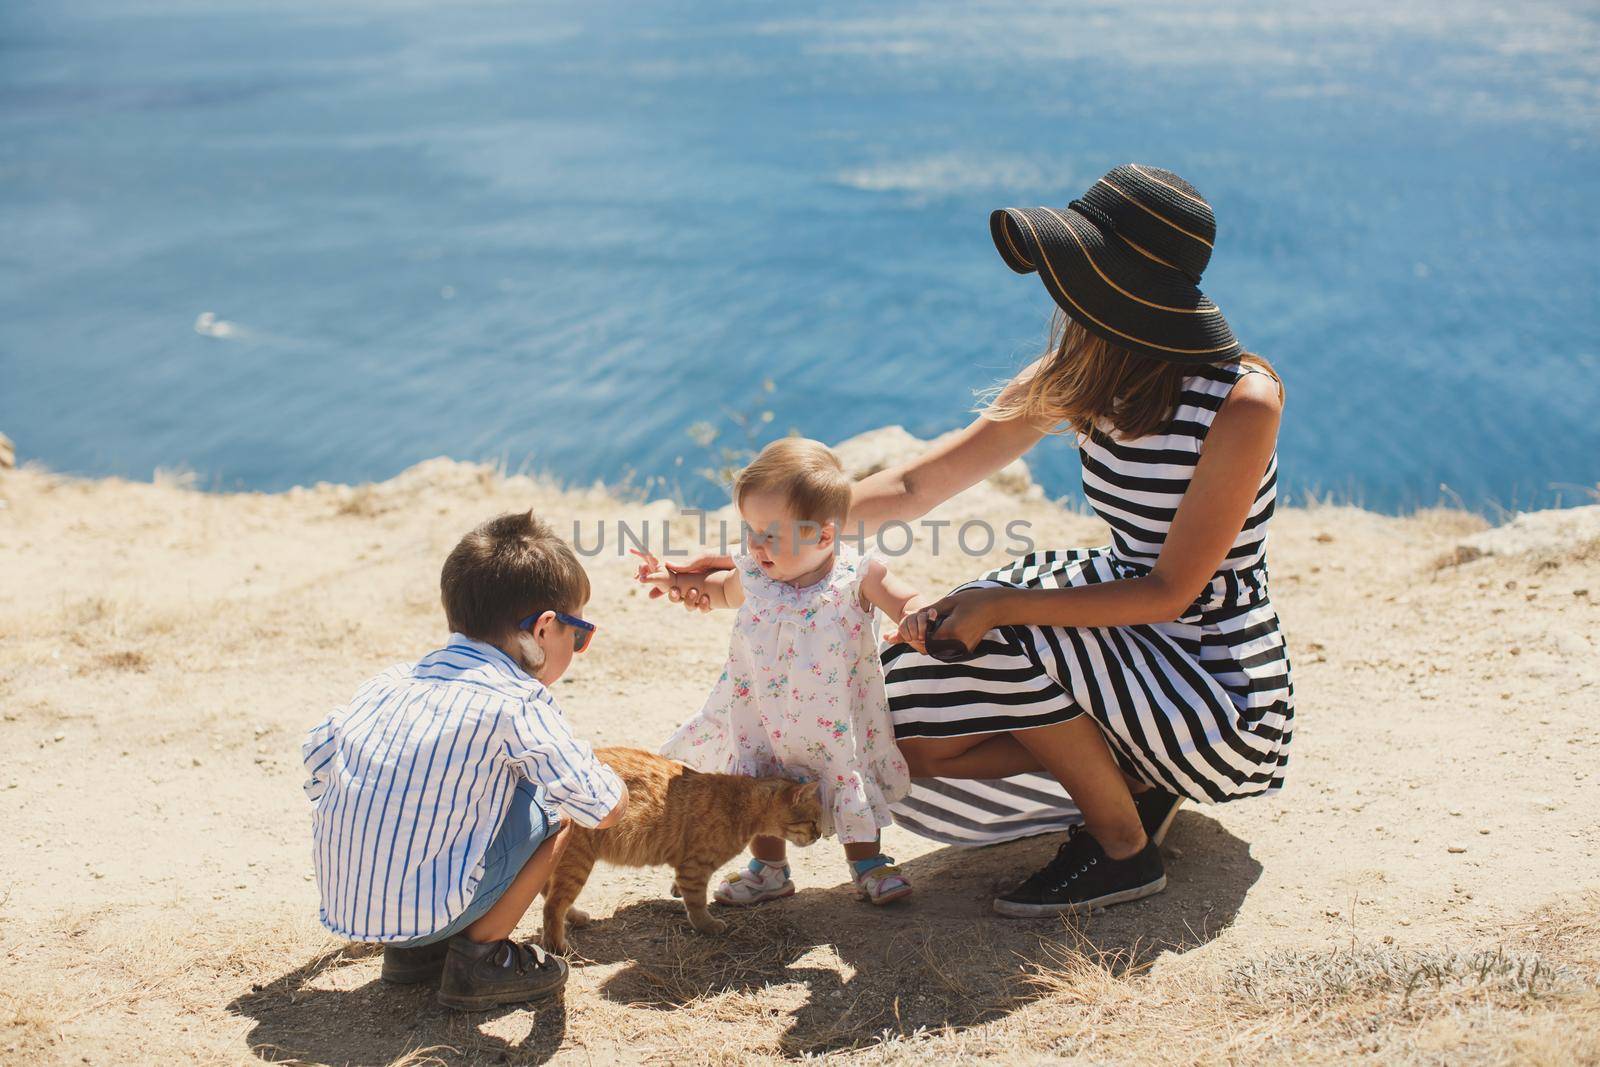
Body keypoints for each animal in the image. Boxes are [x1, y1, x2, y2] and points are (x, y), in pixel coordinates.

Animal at [547, 748, 825, 953]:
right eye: (813, 821)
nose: (820, 834)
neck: (740, 804)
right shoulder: (695, 867)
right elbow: (697, 902)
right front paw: (707, 924)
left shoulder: (685, 866)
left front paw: (676, 891)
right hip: (577, 861)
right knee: (552, 905)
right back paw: (559, 946)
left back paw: (576, 918)